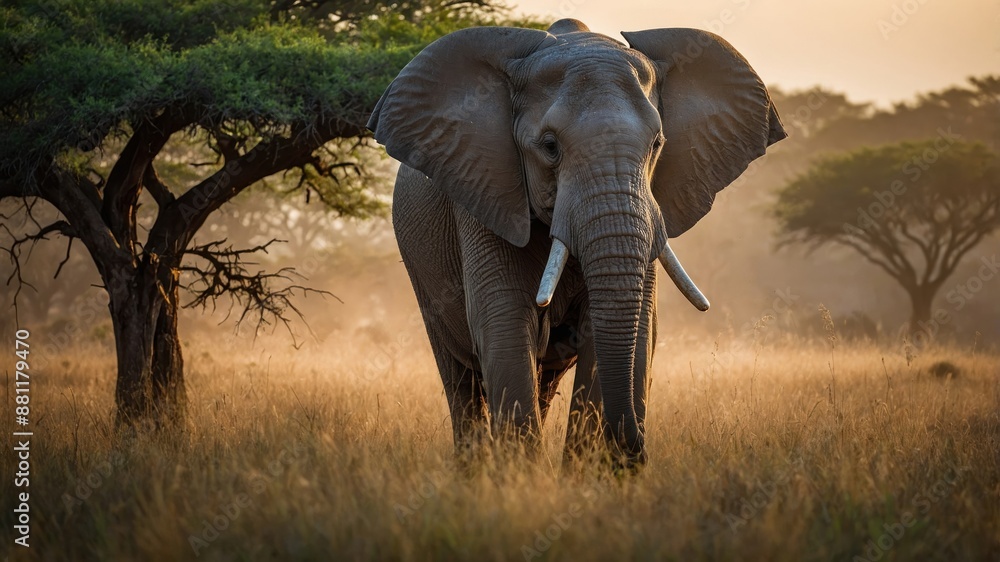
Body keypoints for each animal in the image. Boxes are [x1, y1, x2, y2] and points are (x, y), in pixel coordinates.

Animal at [367, 18, 785, 468]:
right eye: (550, 146)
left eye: (657, 144)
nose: (637, 455)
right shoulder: (484, 189)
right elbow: (504, 325)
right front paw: (522, 478)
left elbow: (625, 334)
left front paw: (581, 476)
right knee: (461, 377)